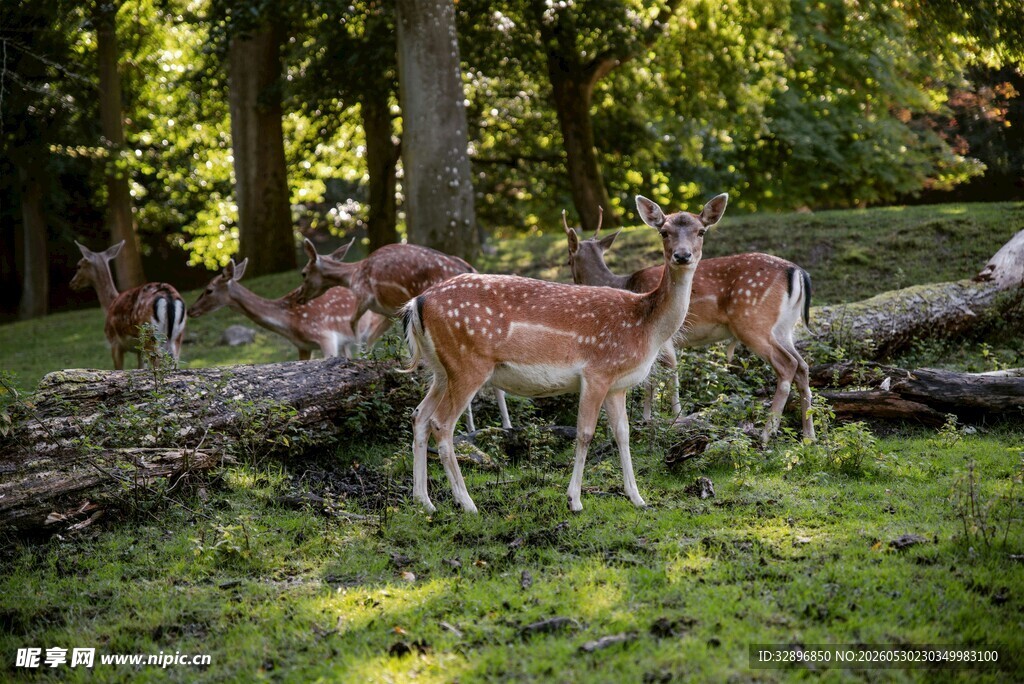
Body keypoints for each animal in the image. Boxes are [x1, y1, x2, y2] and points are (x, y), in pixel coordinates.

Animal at [69, 240, 187, 370]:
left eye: (79, 266)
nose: (72, 283)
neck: (110, 304)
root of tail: (168, 296)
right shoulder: (138, 350)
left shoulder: (114, 342)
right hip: (177, 337)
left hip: (150, 334)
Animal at [295, 239, 510, 431]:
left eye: (303, 273)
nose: (299, 297)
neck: (352, 275)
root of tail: (472, 269)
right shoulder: (389, 312)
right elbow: (371, 337)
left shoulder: (364, 296)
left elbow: (354, 327)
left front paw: (354, 358)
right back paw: (504, 425)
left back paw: (476, 426)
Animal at [402, 193, 728, 514]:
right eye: (664, 231)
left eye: (701, 230)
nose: (682, 256)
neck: (645, 326)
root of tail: (417, 302)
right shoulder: (597, 371)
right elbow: (585, 433)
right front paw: (574, 500)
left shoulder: (617, 384)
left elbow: (623, 433)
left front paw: (637, 498)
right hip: (468, 363)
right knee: (441, 423)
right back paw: (466, 503)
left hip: (441, 369)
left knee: (419, 415)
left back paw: (424, 502)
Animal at [564, 208, 815, 443]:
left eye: (568, 260)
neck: (625, 284)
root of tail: (798, 272)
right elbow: (655, 376)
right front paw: (652, 416)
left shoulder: (661, 337)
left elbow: (667, 372)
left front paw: (668, 417)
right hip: (784, 328)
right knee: (802, 366)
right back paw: (809, 435)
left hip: (753, 321)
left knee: (788, 364)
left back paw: (766, 433)